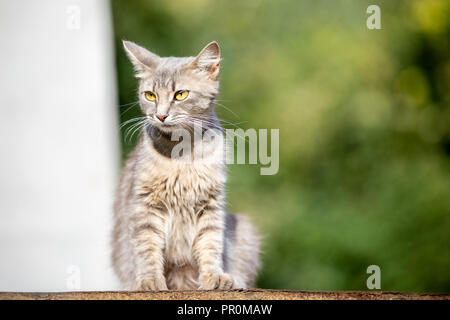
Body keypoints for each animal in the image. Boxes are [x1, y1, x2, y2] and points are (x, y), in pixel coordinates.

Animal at [111, 40, 260, 290]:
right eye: (150, 95)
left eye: (180, 94)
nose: (160, 116)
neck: (182, 157)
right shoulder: (144, 205)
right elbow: (146, 247)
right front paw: (150, 280)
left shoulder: (211, 204)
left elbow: (211, 243)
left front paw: (214, 276)